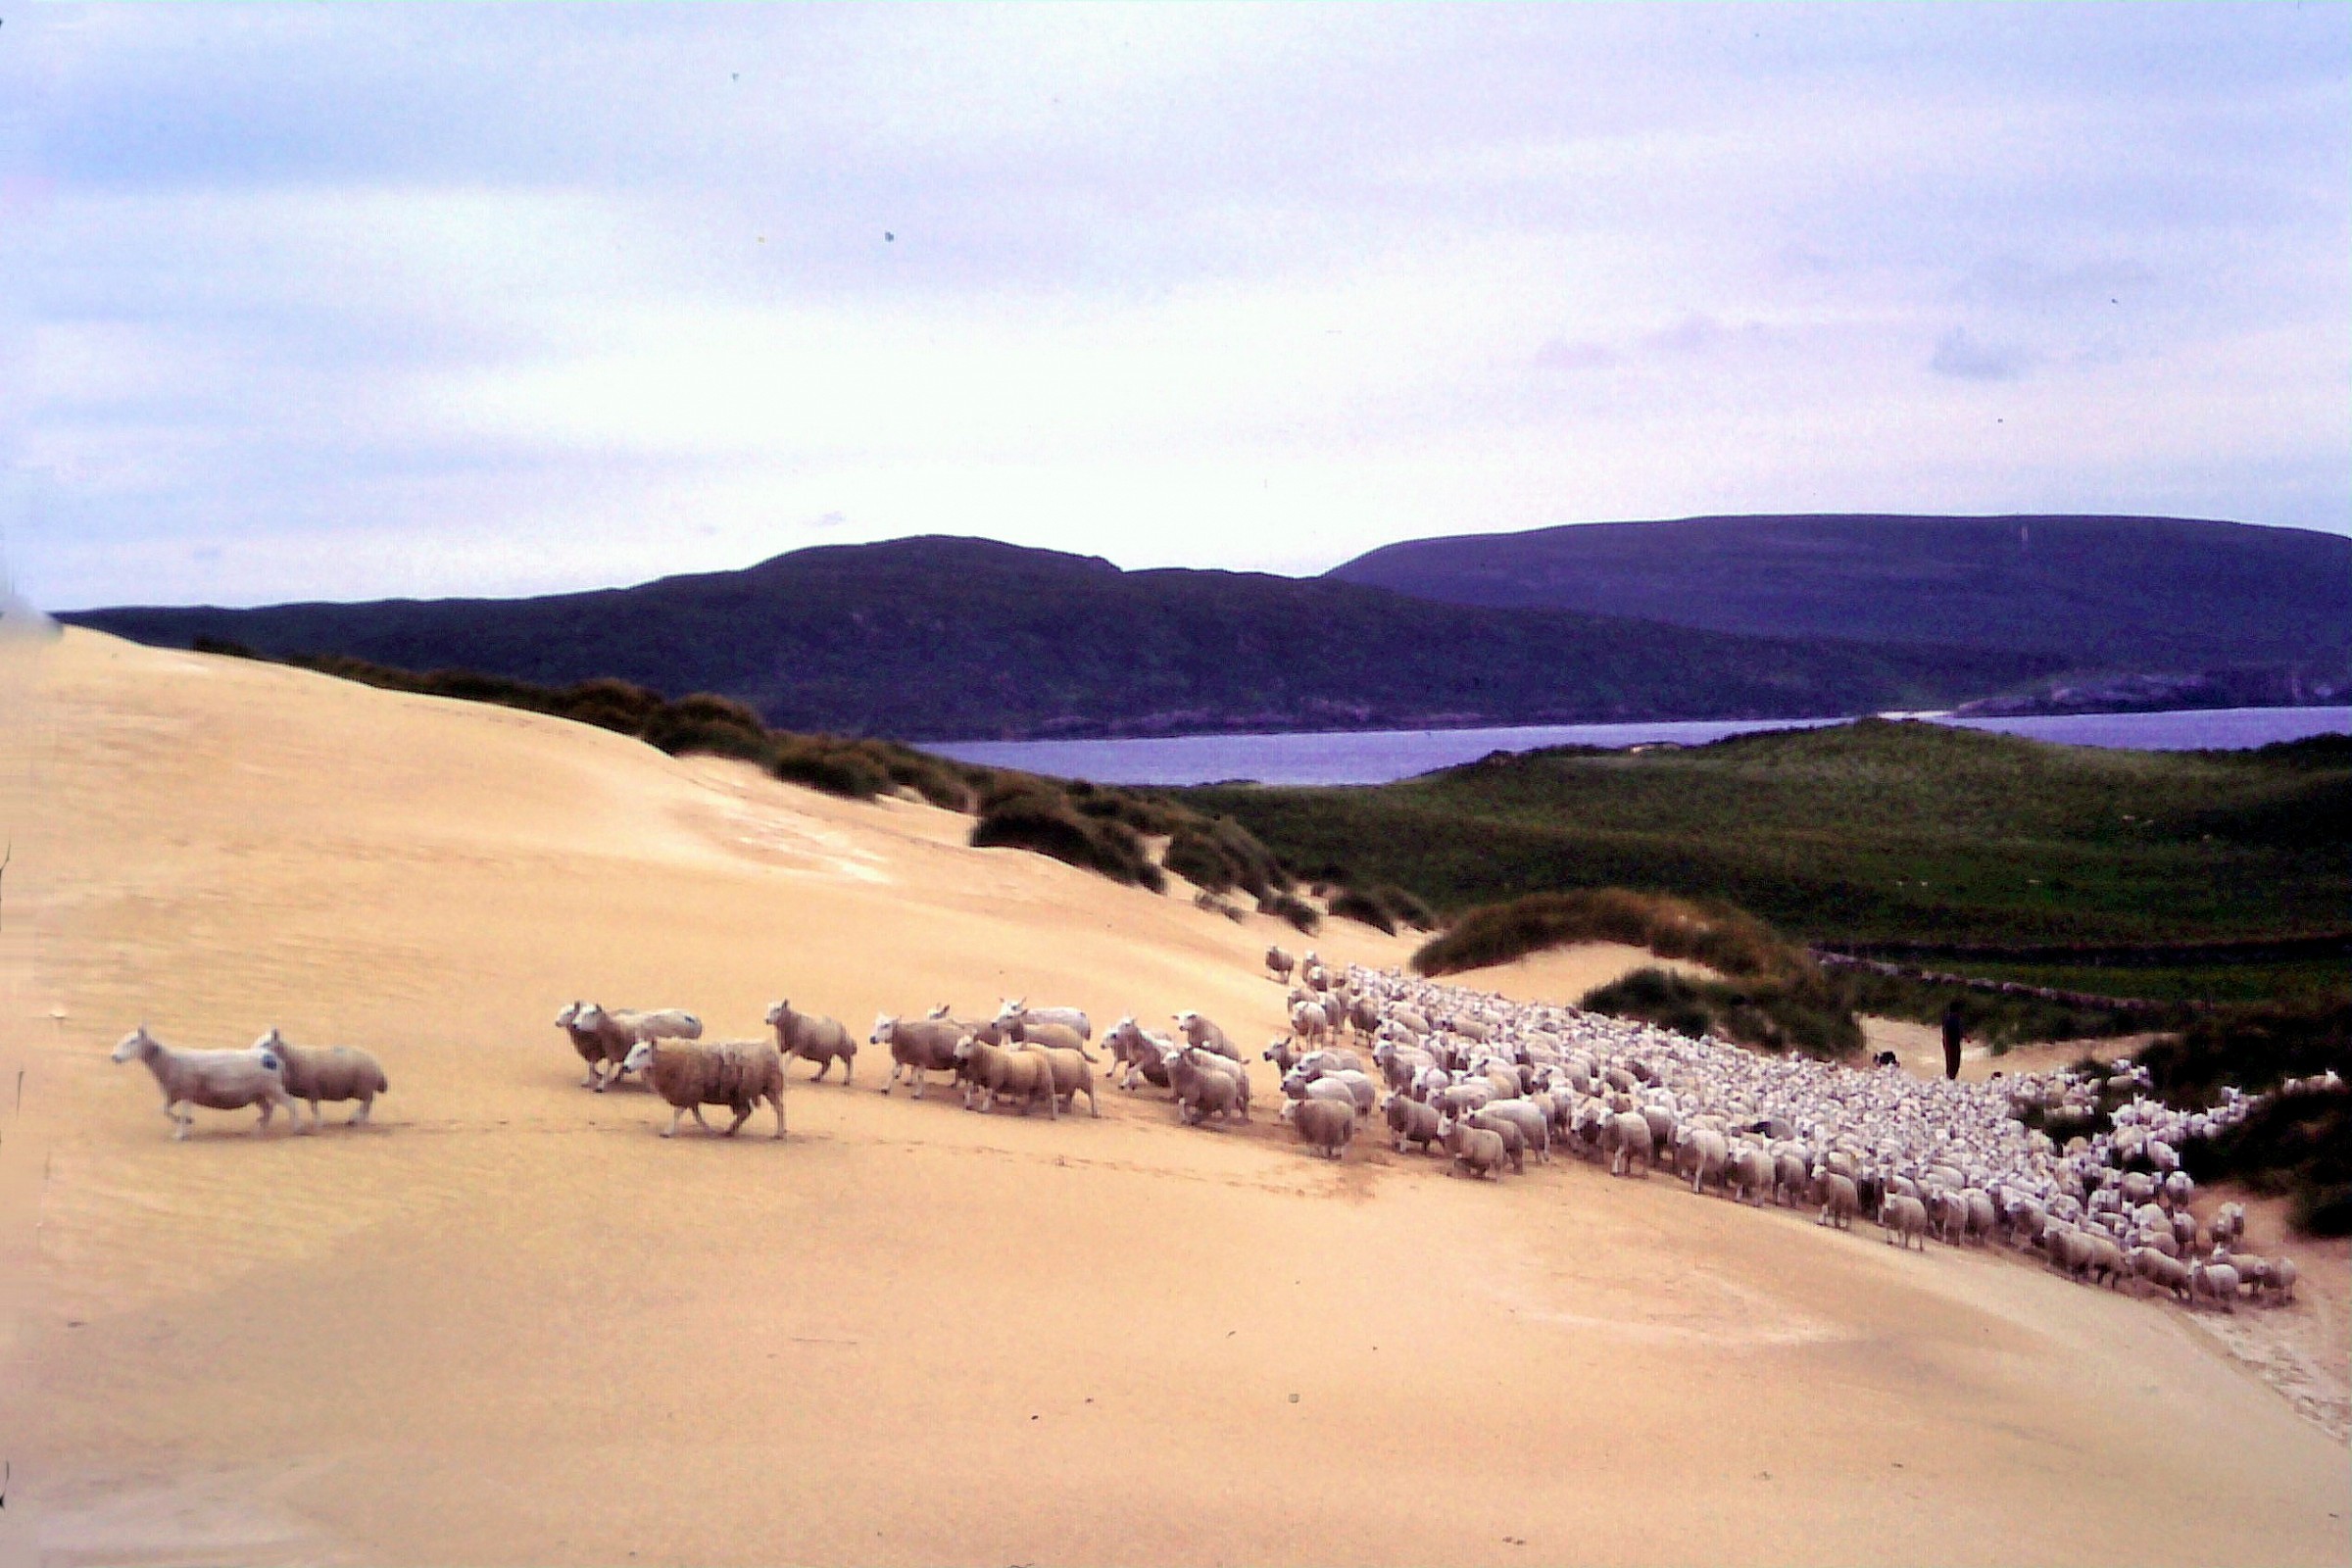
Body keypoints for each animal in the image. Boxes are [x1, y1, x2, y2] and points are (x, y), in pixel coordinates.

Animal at [113, 1025, 297, 1140]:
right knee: (268, 1110)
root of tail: (271, 1057)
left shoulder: (187, 1092)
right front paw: (188, 1122)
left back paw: (296, 1129)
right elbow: (164, 1110)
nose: (114, 1057)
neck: (169, 1060)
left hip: (273, 1088)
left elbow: (181, 1113)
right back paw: (258, 1131)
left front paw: (180, 1134)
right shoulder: (173, 1094)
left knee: (290, 1104)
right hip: (258, 1093)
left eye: (132, 1041)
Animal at [252, 1027, 387, 1129]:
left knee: (366, 1103)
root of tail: (378, 1068)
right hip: (363, 1089)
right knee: (367, 1103)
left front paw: (318, 1124)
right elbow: (274, 1104)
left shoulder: (312, 1090)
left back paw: (357, 1120)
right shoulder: (282, 1088)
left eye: (267, 1043)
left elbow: (314, 1108)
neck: (292, 1057)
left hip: (364, 1088)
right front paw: (262, 1120)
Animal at [619, 1036, 785, 1139]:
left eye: (643, 1051)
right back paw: (730, 1131)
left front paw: (668, 1132)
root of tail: (769, 1047)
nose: (625, 1067)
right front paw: (708, 1129)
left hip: (771, 1086)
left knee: (779, 1108)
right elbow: (696, 1115)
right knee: (746, 1112)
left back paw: (779, 1133)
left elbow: (678, 1112)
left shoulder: (688, 1090)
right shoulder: (692, 1094)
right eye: (632, 1049)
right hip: (740, 1093)